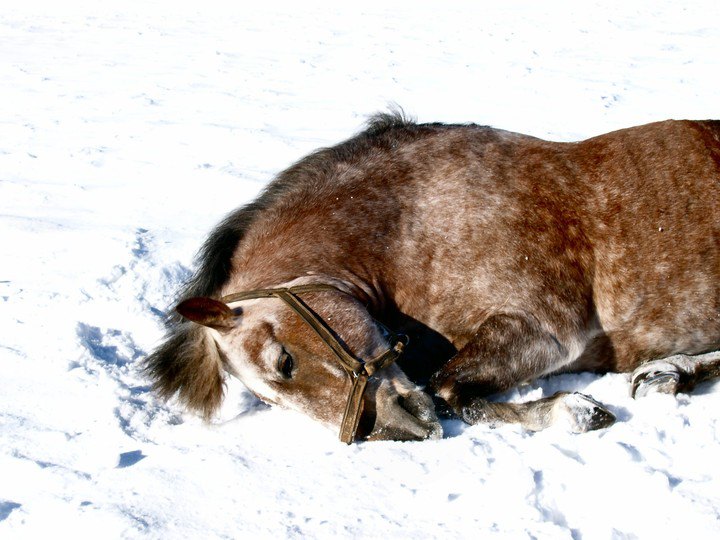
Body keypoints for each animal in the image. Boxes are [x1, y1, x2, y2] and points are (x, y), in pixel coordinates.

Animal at [142, 114, 720, 442]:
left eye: (284, 362)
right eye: (265, 402)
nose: (395, 433)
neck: (415, 221)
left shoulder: (545, 329)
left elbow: (445, 386)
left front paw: (575, 410)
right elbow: (450, 391)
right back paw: (670, 372)